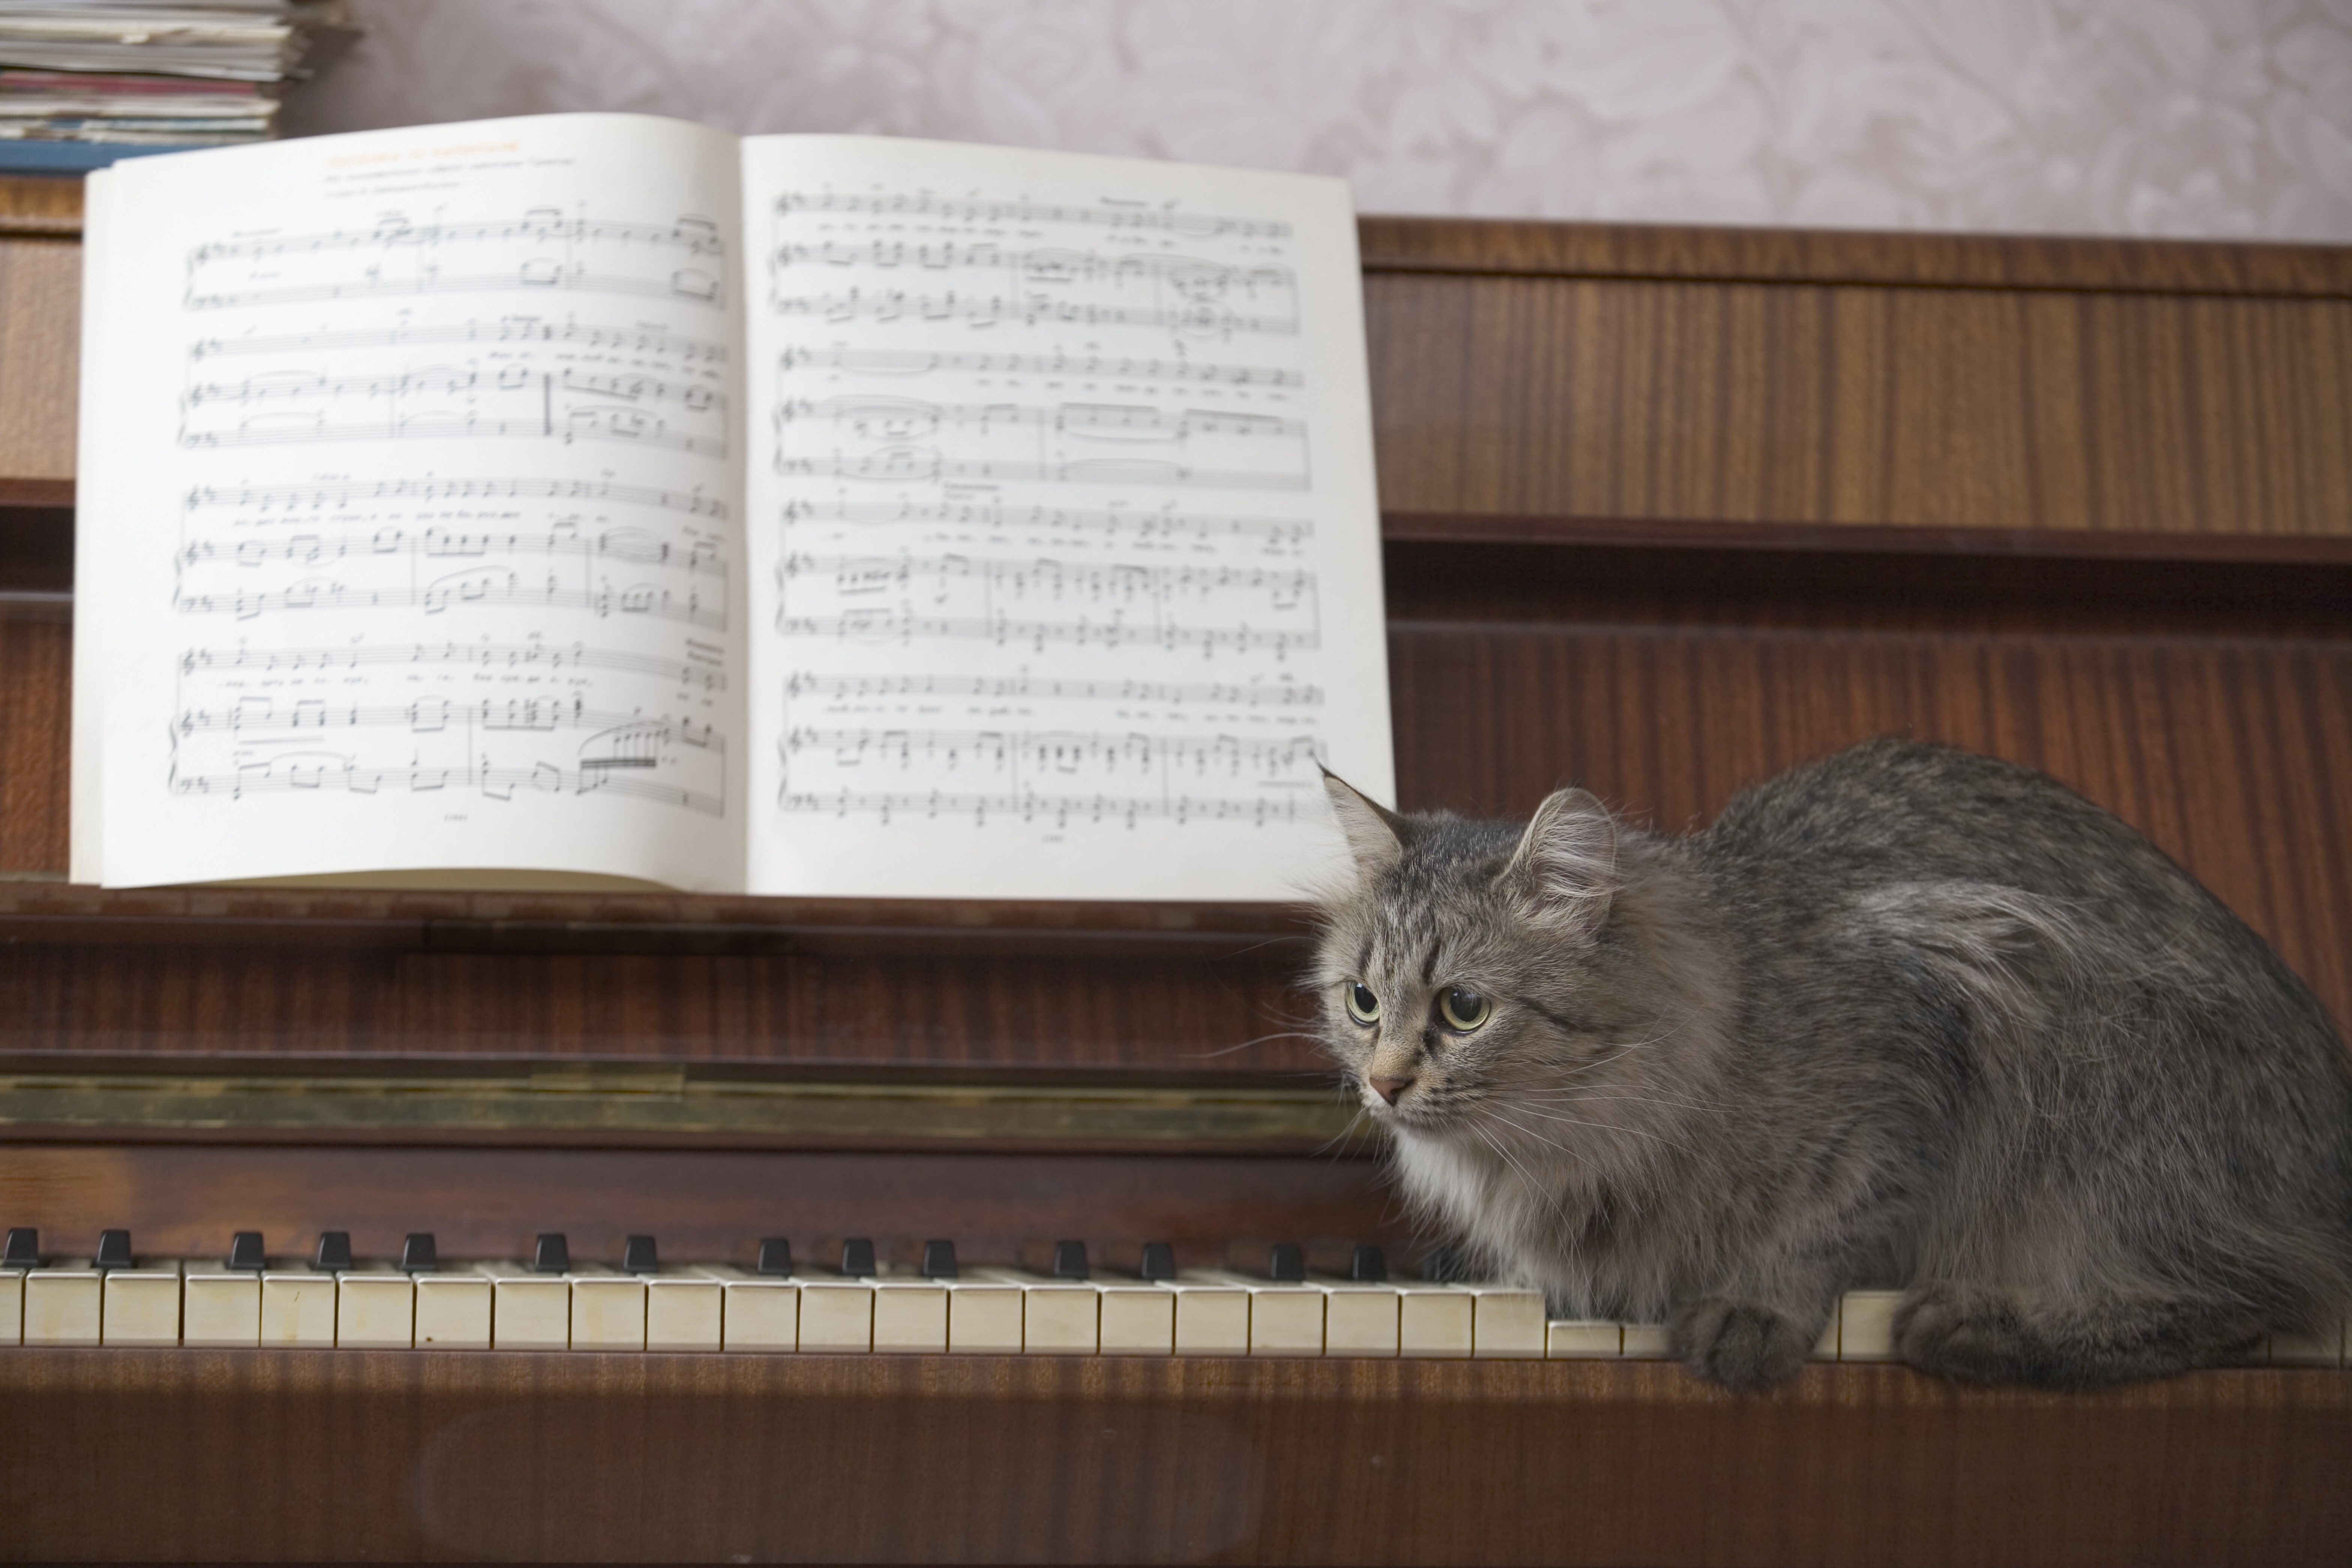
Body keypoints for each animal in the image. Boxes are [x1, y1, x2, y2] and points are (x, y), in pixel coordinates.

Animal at [1317, 743, 2352, 1391]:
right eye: (1361, 1001)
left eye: (1463, 1008)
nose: (1384, 1083)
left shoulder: (1924, 1033)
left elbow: (1825, 1219)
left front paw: (1750, 1311)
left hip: (2100, 1081)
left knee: (2255, 1294)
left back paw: (1975, 1327)